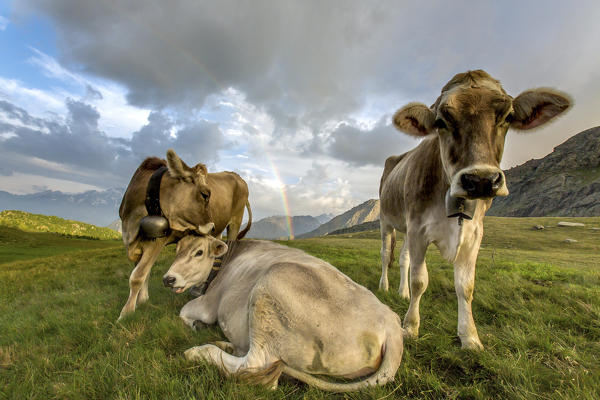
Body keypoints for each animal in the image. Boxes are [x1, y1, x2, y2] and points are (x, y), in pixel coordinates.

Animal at [117, 148, 251, 320]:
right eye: (205, 194)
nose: (212, 226)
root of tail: (237, 176)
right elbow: (145, 272)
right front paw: (142, 301)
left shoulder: (156, 241)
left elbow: (137, 276)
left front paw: (126, 313)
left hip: (235, 221)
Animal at [165, 236, 404, 392]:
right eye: (176, 251)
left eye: (199, 252)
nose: (168, 278)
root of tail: (391, 323)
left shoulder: (210, 303)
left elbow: (184, 312)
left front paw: (197, 325)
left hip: (271, 285)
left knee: (256, 367)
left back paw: (199, 351)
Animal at [380, 71, 572, 350]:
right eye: (441, 121)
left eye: (507, 116)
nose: (481, 180)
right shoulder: (418, 230)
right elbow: (420, 280)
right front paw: (411, 328)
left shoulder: (473, 233)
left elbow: (466, 286)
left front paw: (469, 337)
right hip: (386, 221)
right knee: (386, 255)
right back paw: (384, 286)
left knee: (403, 258)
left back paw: (402, 292)